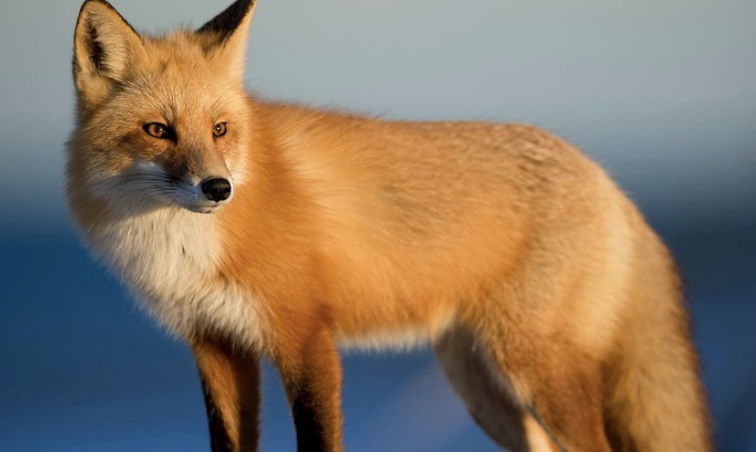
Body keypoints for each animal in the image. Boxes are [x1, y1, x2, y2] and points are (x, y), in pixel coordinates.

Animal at [67, 0, 712, 451]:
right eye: (158, 130)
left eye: (220, 129)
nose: (218, 188)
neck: (185, 249)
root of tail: (608, 181)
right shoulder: (215, 345)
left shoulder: (305, 337)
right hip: (482, 387)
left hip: (535, 370)